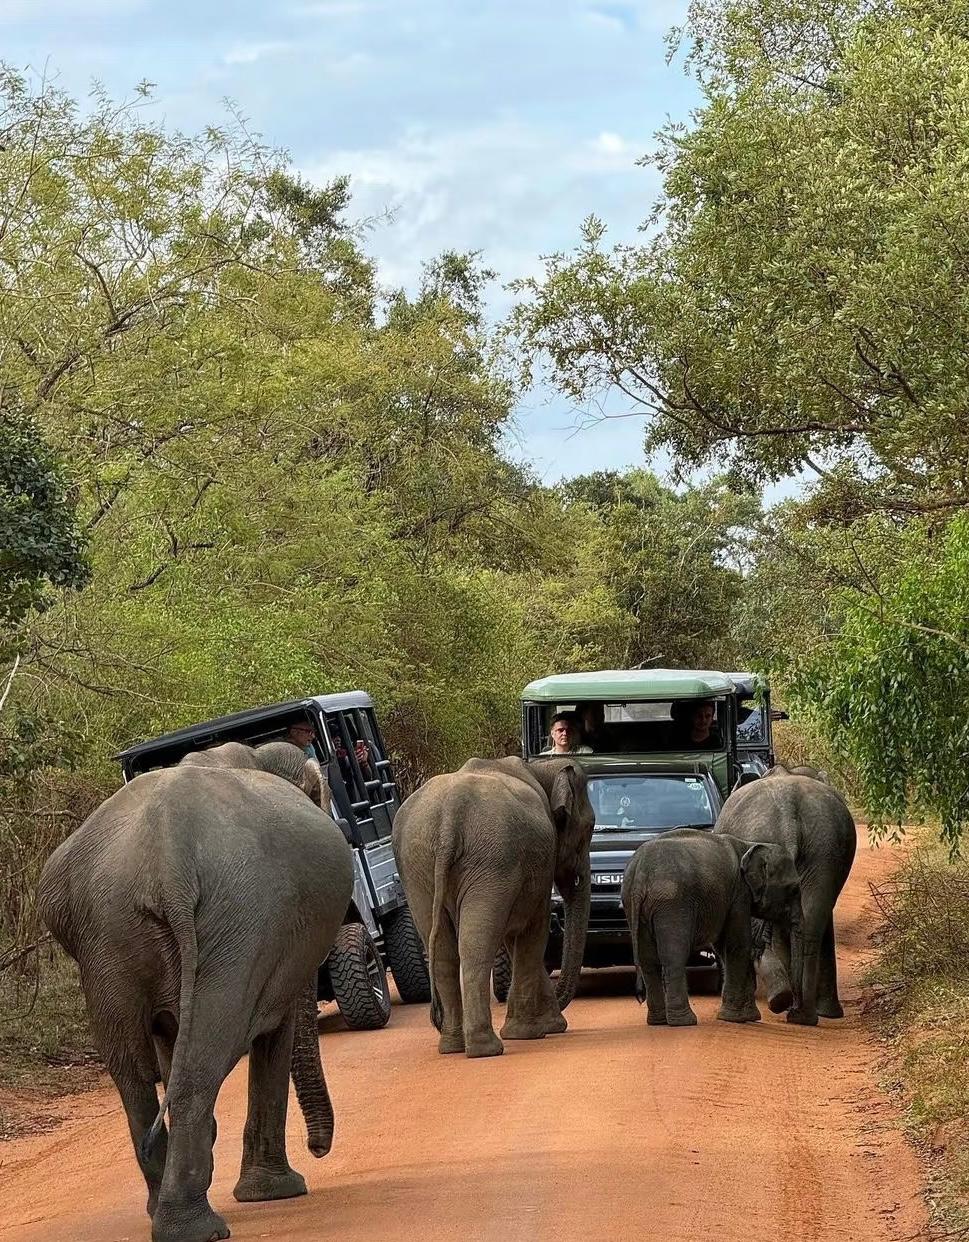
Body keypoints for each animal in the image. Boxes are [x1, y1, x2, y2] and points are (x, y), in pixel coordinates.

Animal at [37, 741, 353, 1242]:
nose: (318, 1148)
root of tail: (167, 864)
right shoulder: (277, 939)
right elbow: (275, 1031)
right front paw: (276, 1192)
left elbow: (170, 1036)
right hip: (240, 922)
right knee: (203, 1061)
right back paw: (197, 1226)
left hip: (106, 934)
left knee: (133, 1073)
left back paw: (166, 1211)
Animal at [392, 756, 595, 1059]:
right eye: (591, 828)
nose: (560, 1019)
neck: (542, 767)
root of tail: (449, 818)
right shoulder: (536, 869)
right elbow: (534, 931)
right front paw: (530, 1033)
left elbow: (513, 938)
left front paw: (548, 1025)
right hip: (491, 860)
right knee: (476, 945)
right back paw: (485, 1048)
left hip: (417, 867)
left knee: (444, 953)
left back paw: (452, 1046)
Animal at [621, 829, 802, 1026]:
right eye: (794, 889)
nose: (790, 1009)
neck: (749, 845)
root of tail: (639, 876)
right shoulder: (739, 894)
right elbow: (737, 944)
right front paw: (737, 1019)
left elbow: (724, 947)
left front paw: (747, 1017)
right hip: (672, 903)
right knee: (674, 956)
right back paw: (684, 1022)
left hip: (635, 905)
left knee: (648, 961)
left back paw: (658, 1021)